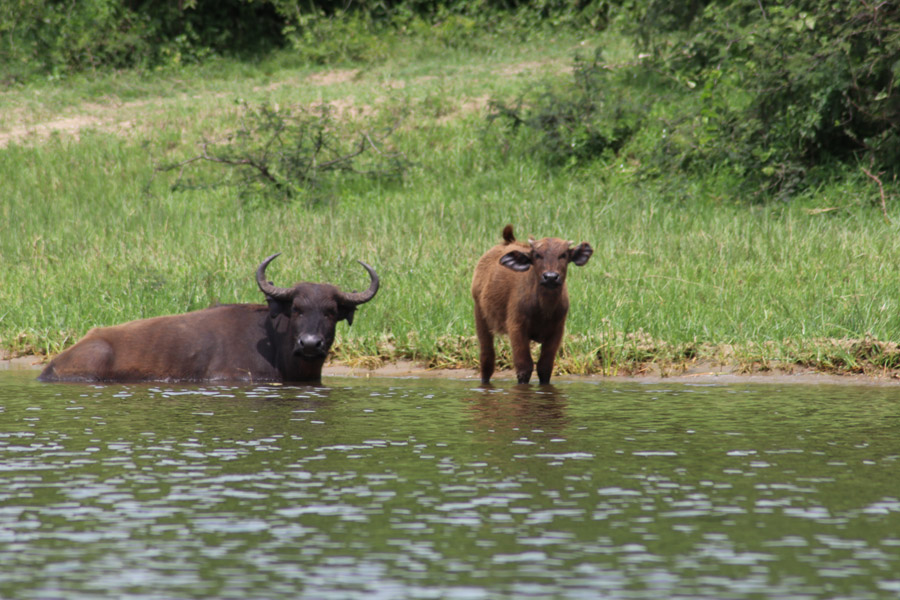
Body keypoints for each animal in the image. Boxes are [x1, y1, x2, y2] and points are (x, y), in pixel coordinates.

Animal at [472, 224, 592, 384]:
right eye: (537, 255)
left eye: (563, 255)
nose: (550, 277)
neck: (544, 309)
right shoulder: (517, 328)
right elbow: (524, 366)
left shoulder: (557, 331)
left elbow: (545, 367)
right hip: (480, 315)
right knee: (487, 357)